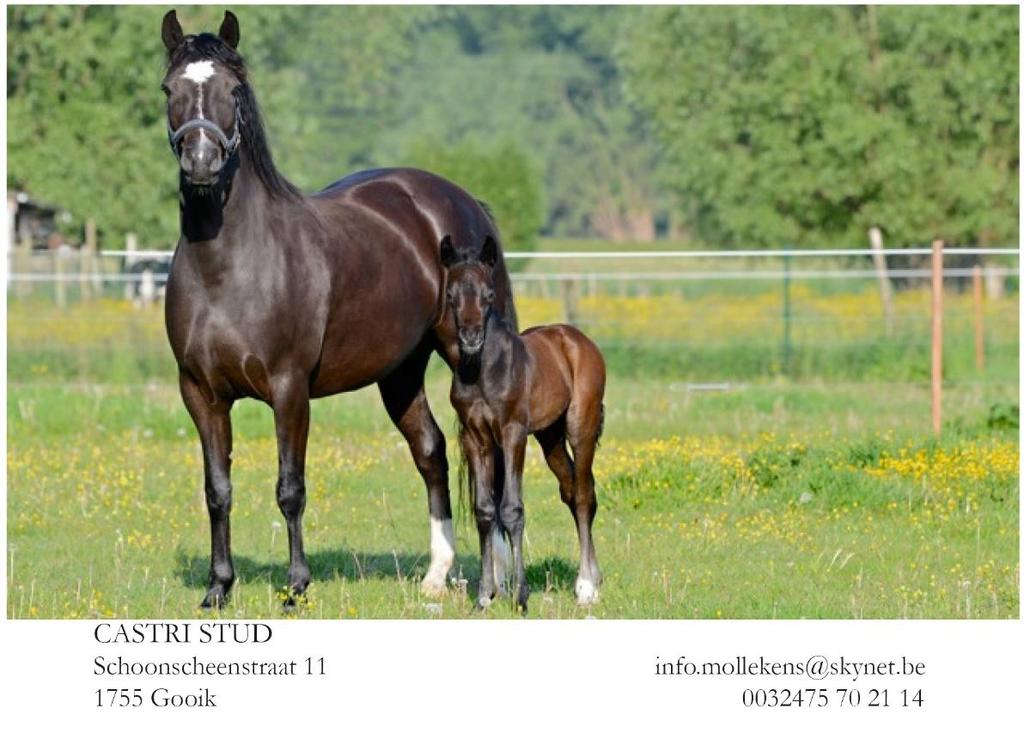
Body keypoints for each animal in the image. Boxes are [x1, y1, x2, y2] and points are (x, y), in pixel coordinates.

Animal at [442, 233, 606, 605]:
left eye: (489, 295)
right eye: (451, 295)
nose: (471, 338)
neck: (482, 371)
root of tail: (577, 340)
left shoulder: (512, 434)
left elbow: (512, 509)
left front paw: (521, 596)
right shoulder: (476, 438)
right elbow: (485, 511)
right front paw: (484, 596)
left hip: (581, 428)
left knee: (584, 494)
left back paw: (587, 586)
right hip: (550, 437)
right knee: (571, 490)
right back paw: (591, 579)